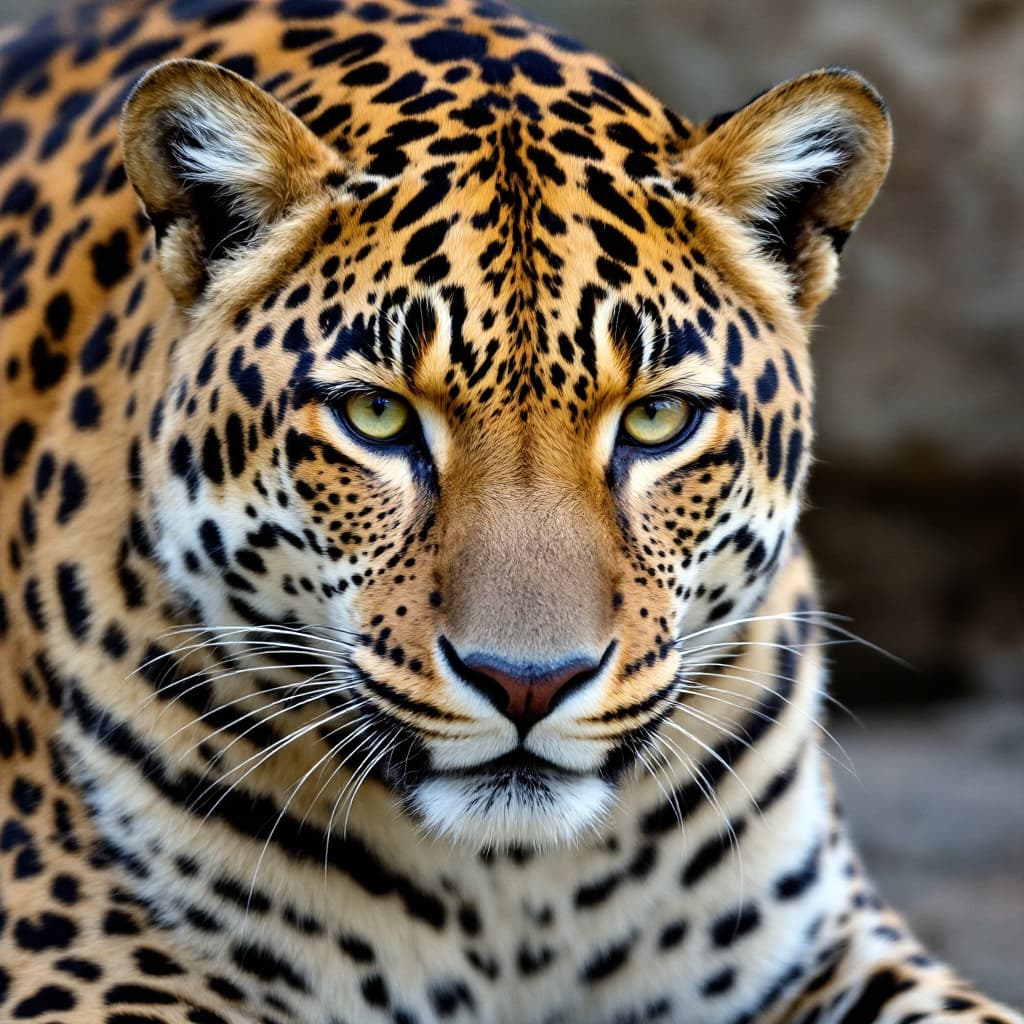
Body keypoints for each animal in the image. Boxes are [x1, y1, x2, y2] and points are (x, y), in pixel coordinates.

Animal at [0, 0, 1020, 1022]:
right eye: (376, 417)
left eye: (657, 419)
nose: (528, 683)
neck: (516, 890)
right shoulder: (83, 963)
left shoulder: (826, 947)